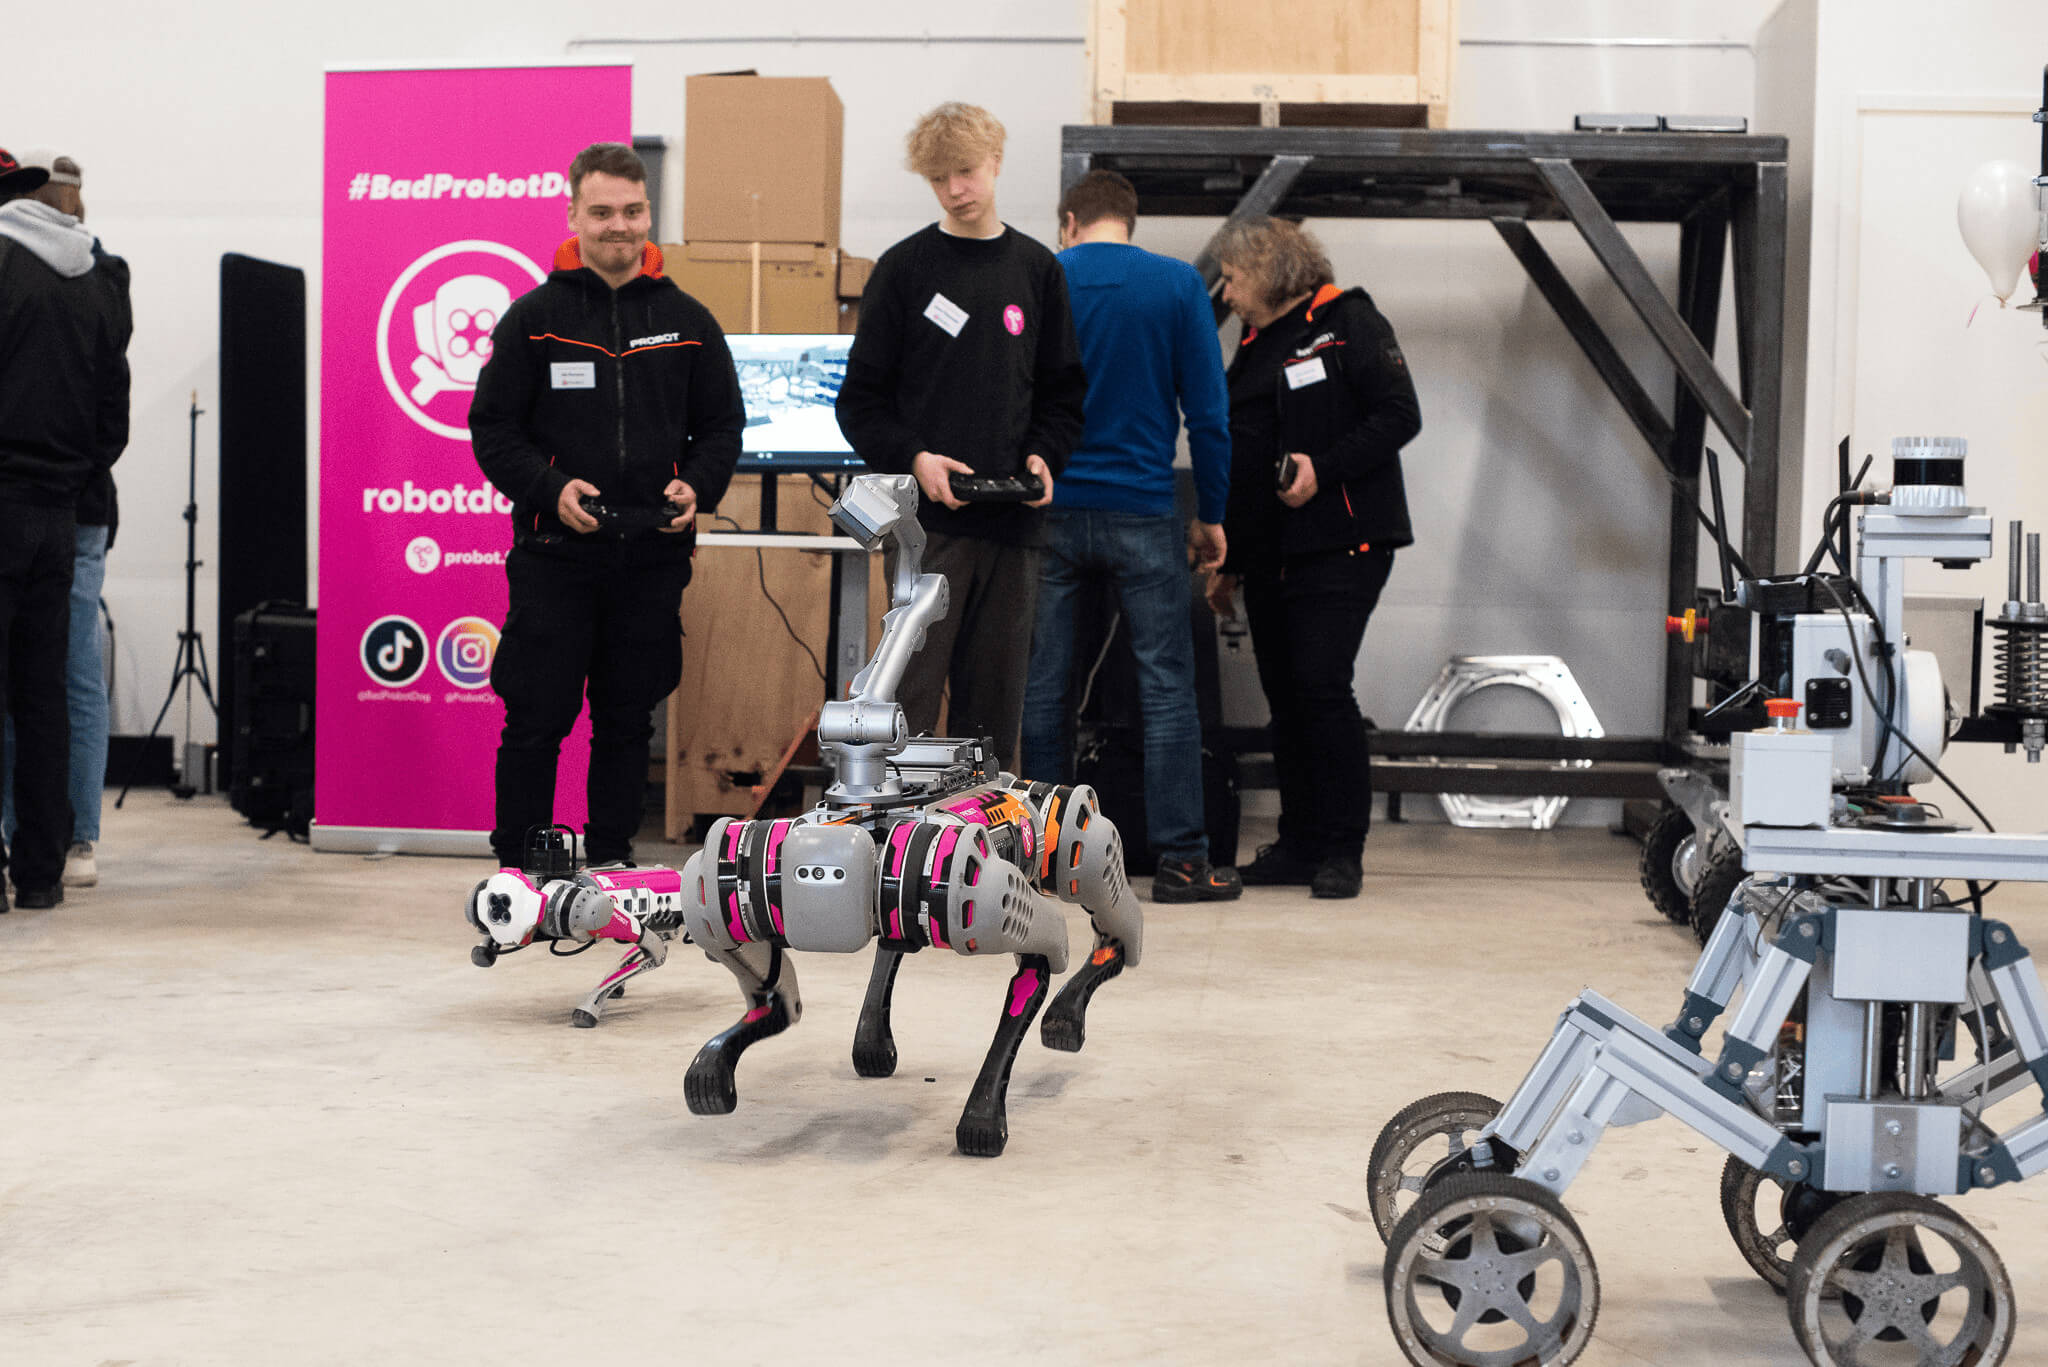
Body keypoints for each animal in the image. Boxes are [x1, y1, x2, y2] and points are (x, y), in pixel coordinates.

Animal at [464, 471, 1146, 1155]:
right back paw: (874, 1041)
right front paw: (719, 1060)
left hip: (1053, 834)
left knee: (1095, 869)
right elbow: (768, 993)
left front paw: (984, 1116)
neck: (865, 816)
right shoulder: (726, 882)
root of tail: (1001, 773)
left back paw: (1093, 981)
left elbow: (1044, 951)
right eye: (811, 873)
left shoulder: (970, 892)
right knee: (892, 949)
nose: (823, 870)